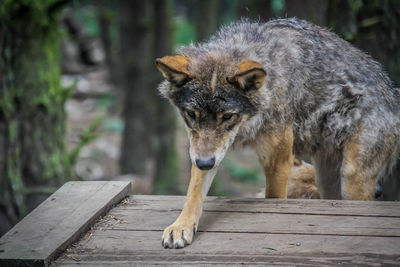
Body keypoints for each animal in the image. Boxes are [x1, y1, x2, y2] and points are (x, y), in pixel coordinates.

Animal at [155, 18, 398, 249]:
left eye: (227, 116)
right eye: (191, 114)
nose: (205, 163)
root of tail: (392, 95)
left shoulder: (278, 159)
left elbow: (274, 198)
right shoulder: (202, 150)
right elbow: (193, 193)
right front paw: (181, 226)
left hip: (352, 177)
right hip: (327, 180)